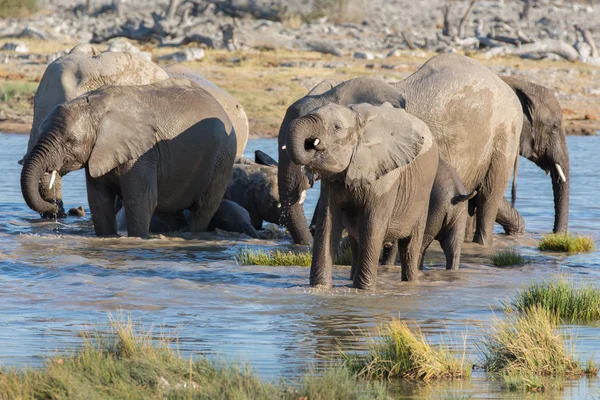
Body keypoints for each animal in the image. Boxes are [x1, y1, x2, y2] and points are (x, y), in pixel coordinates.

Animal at [21, 79, 237, 239]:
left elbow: (139, 202)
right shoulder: (99, 154)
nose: (55, 209)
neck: (94, 107)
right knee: (168, 210)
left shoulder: (144, 154)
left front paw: (137, 240)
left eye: (70, 141)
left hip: (223, 157)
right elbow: (100, 203)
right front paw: (107, 239)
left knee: (203, 209)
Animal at [284, 101, 438, 290]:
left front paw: (364, 290)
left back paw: (410, 283)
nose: (311, 145)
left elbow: (372, 226)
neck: (356, 118)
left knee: (410, 246)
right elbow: (327, 223)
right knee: (356, 240)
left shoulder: (384, 175)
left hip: (422, 196)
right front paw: (320, 288)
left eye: (337, 127)